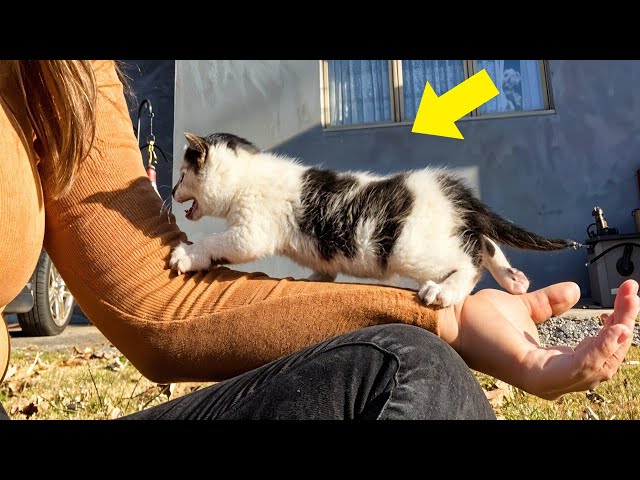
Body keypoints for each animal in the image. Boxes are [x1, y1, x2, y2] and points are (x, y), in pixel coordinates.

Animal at [170, 133, 580, 306]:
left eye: (182, 174)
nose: (172, 192)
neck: (246, 175)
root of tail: (451, 189)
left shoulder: (251, 229)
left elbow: (220, 241)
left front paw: (187, 254)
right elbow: (323, 267)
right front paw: (314, 278)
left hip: (411, 249)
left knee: (472, 258)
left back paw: (446, 291)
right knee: (484, 239)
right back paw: (513, 279)